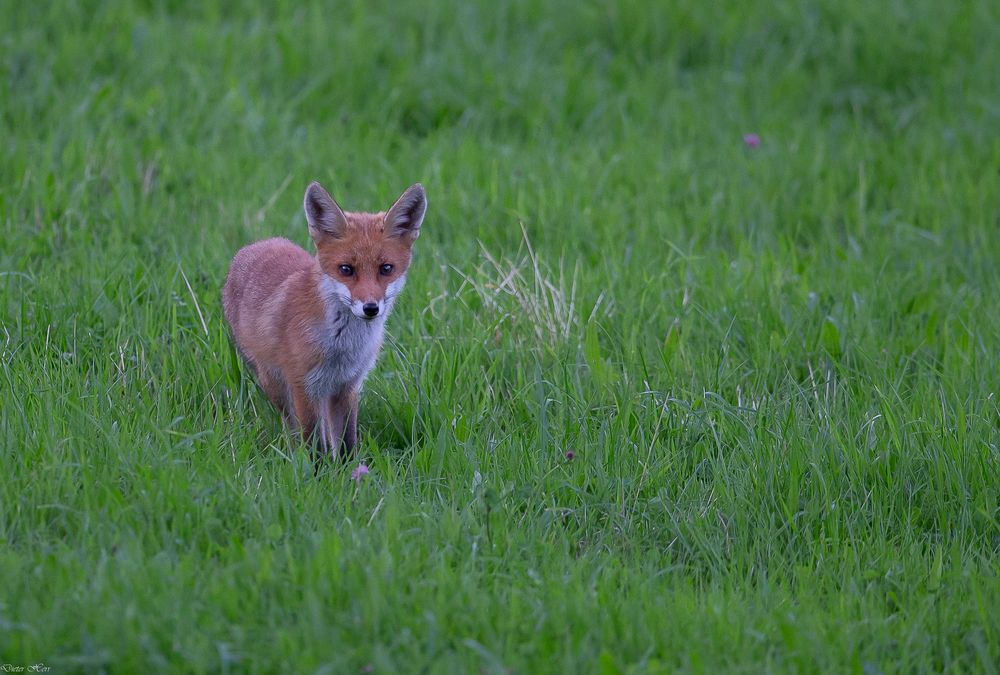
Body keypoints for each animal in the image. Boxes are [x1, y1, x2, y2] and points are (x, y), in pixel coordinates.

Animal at [223, 184, 426, 460]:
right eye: (346, 269)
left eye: (386, 268)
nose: (370, 308)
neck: (342, 347)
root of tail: (256, 244)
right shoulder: (304, 385)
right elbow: (313, 444)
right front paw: (315, 470)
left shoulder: (347, 385)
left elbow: (347, 441)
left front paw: (351, 470)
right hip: (274, 383)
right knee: (291, 424)